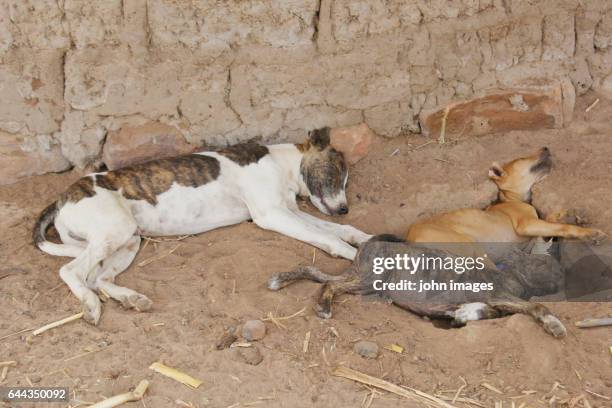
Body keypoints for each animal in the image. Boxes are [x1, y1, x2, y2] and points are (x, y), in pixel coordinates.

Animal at [34, 127, 372, 326]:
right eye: (334, 174)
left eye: (346, 182)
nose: (344, 208)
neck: (282, 165)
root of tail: (62, 198)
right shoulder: (272, 214)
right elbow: (327, 237)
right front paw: (353, 255)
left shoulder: (289, 210)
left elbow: (339, 230)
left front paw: (363, 236)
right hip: (114, 231)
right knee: (71, 271)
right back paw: (91, 305)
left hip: (128, 239)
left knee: (99, 278)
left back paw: (132, 299)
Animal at [406, 148, 608, 247]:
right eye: (521, 158)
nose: (546, 147)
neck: (512, 199)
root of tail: (409, 240)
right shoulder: (527, 224)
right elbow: (563, 227)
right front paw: (590, 233)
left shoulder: (538, 227)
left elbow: (553, 220)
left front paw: (573, 214)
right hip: (467, 245)